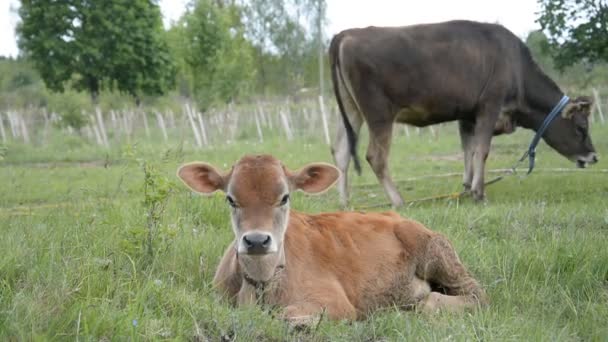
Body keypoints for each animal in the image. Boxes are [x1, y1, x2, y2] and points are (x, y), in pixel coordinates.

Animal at [177, 155, 490, 324]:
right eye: (231, 199)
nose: (256, 241)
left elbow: (287, 314)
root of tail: (396, 215)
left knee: (474, 294)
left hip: (436, 254)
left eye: (284, 197)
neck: (262, 285)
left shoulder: (336, 303)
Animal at [328, 20, 600, 207]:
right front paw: (480, 193)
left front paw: (468, 187)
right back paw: (398, 201)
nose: (594, 157)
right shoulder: (490, 106)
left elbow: (468, 150)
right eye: (581, 128)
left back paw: (345, 202)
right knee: (376, 156)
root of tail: (346, 34)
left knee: (340, 152)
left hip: (351, 111)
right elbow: (482, 150)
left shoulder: (467, 115)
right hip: (379, 113)